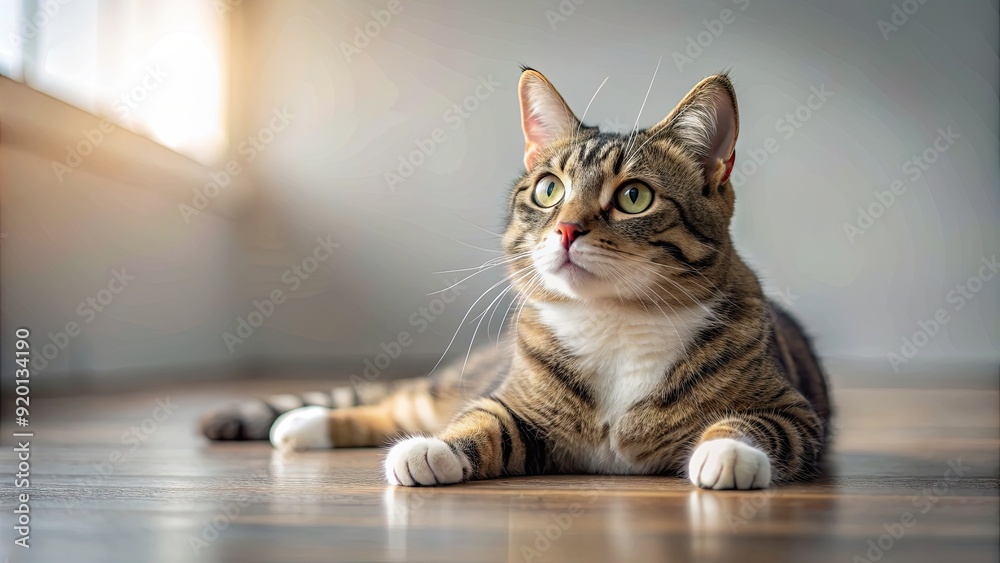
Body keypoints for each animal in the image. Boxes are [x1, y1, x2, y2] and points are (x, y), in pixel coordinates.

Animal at [199, 67, 832, 490]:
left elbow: (759, 424)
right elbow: (485, 419)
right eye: (549, 189)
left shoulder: (794, 411)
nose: (567, 230)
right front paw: (434, 451)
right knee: (403, 403)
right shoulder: (517, 402)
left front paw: (728, 454)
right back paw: (306, 424)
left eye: (634, 196)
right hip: (453, 384)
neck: (615, 322)